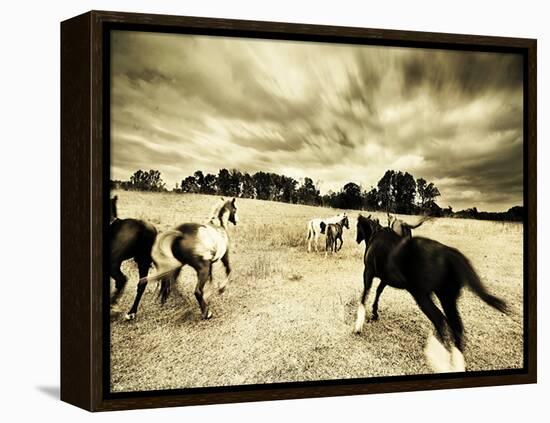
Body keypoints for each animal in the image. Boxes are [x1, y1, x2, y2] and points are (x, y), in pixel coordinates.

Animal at [356, 214, 512, 372]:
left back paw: (440, 359)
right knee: (456, 327)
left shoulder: (368, 272)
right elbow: (378, 292)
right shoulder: (385, 278)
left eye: (357, 227)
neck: (376, 236)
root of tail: (450, 254)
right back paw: (455, 363)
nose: (357, 239)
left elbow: (365, 294)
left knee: (440, 320)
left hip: (422, 296)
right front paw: (374, 313)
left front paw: (359, 325)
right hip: (447, 298)